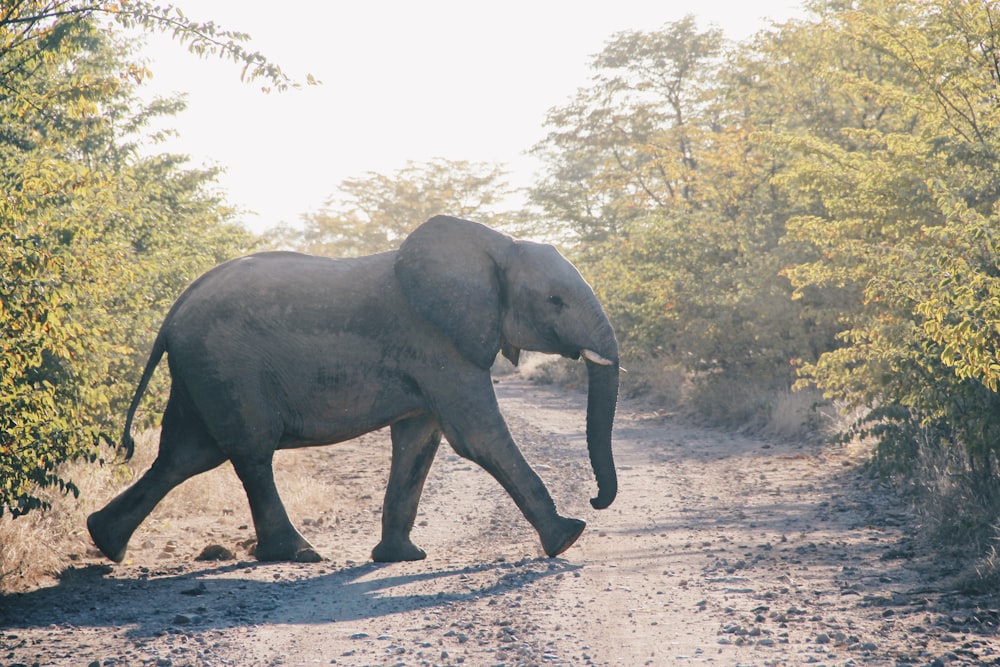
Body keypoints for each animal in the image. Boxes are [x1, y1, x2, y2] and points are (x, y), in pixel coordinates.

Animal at [88, 214, 616, 564]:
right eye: (554, 300)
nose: (596, 500)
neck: (497, 243)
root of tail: (172, 314)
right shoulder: (437, 342)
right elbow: (478, 437)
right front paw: (569, 537)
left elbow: (418, 443)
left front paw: (401, 558)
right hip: (226, 366)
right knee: (249, 453)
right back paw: (298, 554)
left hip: (200, 372)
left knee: (185, 456)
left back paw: (105, 544)